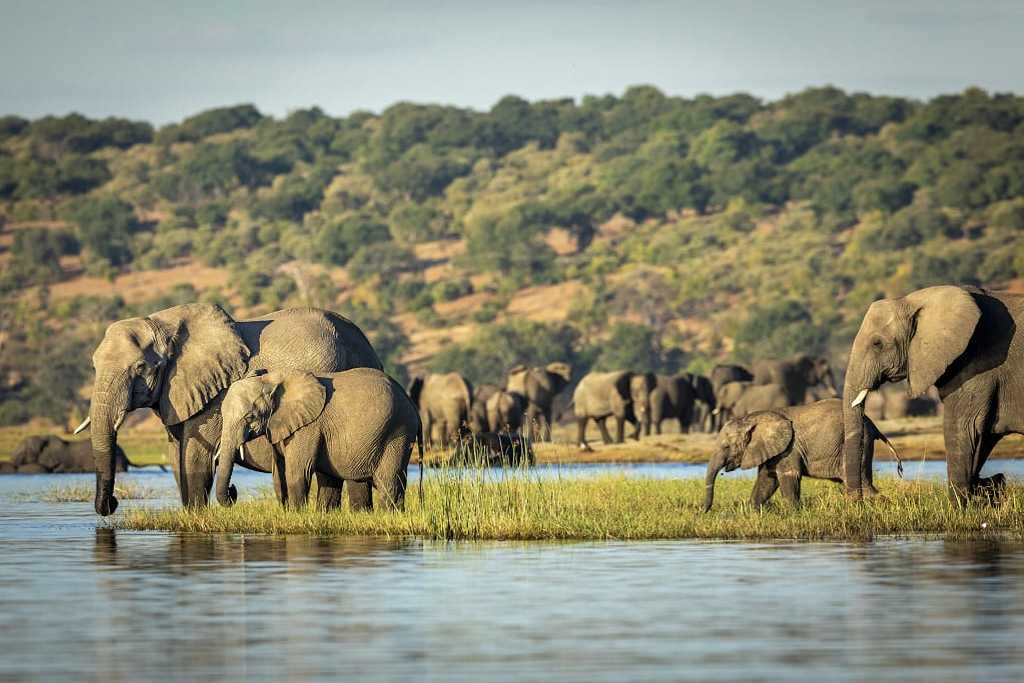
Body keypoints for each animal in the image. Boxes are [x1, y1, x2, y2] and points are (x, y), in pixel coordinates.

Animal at [76, 301, 380, 516]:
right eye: (92, 366)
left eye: (140, 367)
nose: (113, 503)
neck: (164, 324)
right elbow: (176, 456)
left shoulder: (215, 394)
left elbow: (195, 455)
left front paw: (197, 518)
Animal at [216, 370, 419, 509]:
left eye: (249, 417)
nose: (233, 490)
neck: (274, 379)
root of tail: (409, 400)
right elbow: (279, 474)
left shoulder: (308, 427)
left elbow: (297, 471)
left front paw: (296, 514)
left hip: (398, 432)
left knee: (388, 481)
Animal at [700, 397, 901, 509]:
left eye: (726, 447)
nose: (704, 511)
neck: (751, 418)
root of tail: (872, 423)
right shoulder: (774, 450)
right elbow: (767, 479)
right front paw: (752, 511)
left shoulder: (789, 449)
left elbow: (788, 476)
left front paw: (793, 512)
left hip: (859, 444)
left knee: (862, 483)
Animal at [839, 286, 1024, 505]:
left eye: (877, 343)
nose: (857, 501)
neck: (914, 300)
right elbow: (983, 436)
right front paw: (985, 489)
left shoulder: (978, 365)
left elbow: (965, 428)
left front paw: (960, 508)